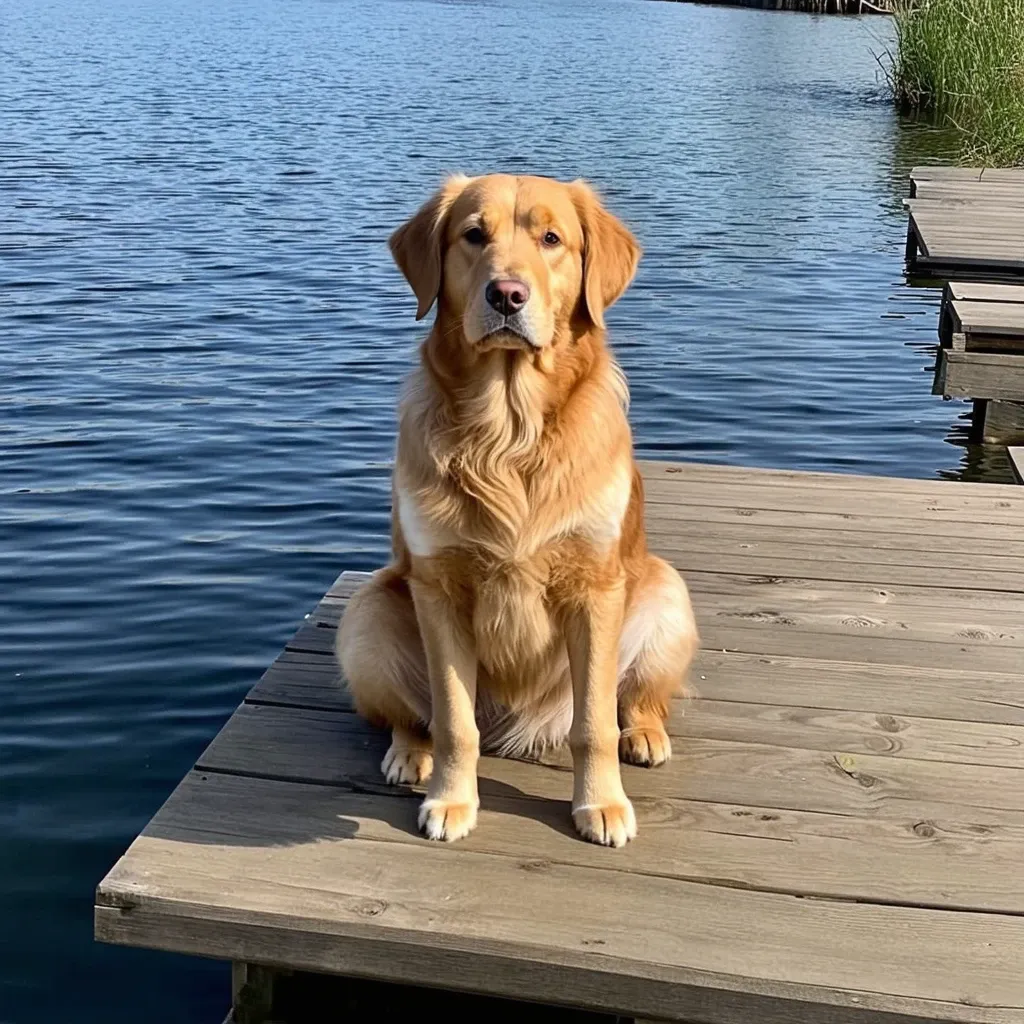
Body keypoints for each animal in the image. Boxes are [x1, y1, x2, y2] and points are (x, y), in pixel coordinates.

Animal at [339, 174, 700, 847]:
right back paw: (409, 753)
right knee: (415, 716)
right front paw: (452, 799)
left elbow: (593, 725)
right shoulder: (439, 588)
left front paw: (600, 803)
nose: (507, 294)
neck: (508, 432)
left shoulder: (594, 588)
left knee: (634, 698)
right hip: (367, 613)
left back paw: (645, 732)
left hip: (667, 593)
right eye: (473, 235)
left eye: (551, 239)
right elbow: (454, 722)